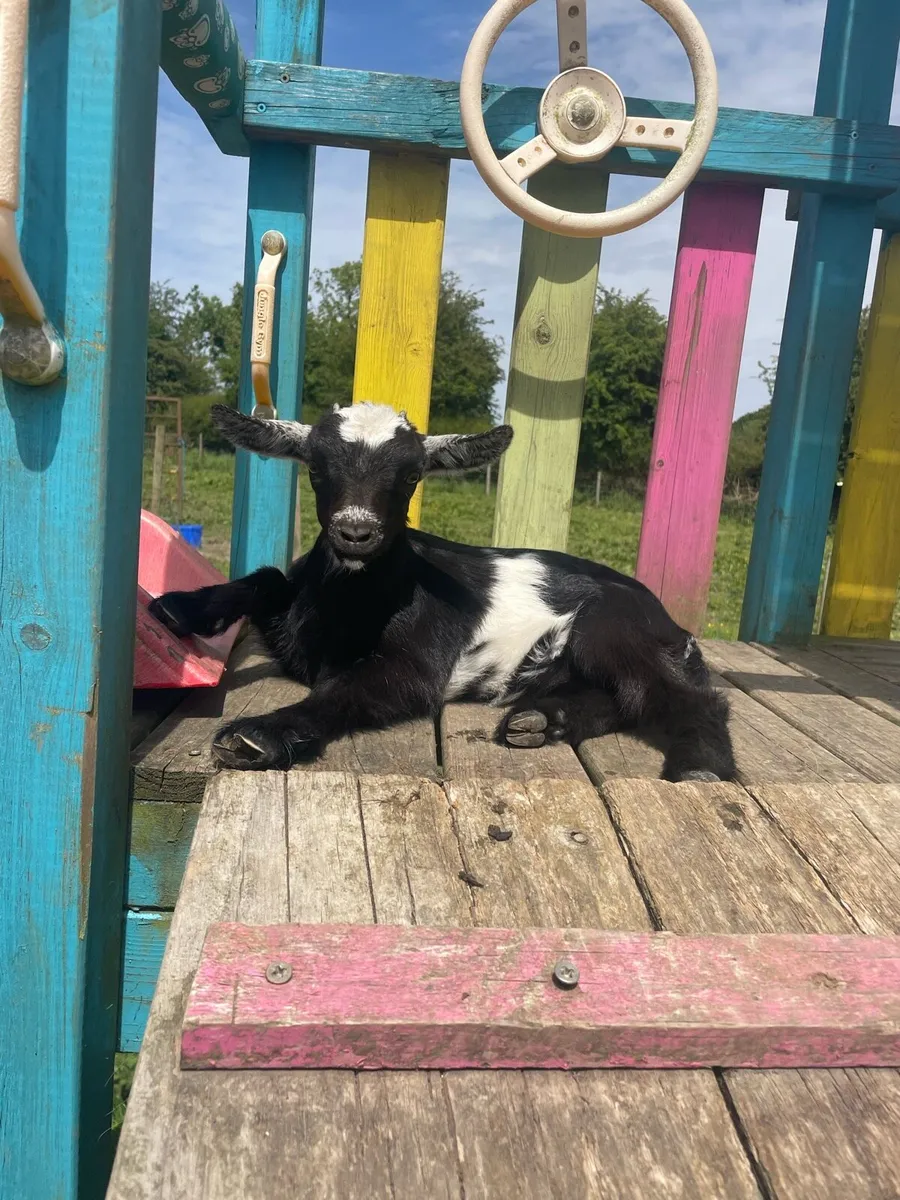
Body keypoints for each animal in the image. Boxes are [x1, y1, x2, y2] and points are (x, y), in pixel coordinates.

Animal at [150, 402, 736, 782]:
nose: (356, 532)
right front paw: (179, 608)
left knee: (682, 694)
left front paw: (260, 735)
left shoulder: (417, 663)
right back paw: (541, 722)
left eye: (411, 477)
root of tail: (664, 616)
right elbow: (269, 578)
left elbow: (345, 690)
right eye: (315, 469)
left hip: (613, 625)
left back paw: (701, 768)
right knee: (625, 697)